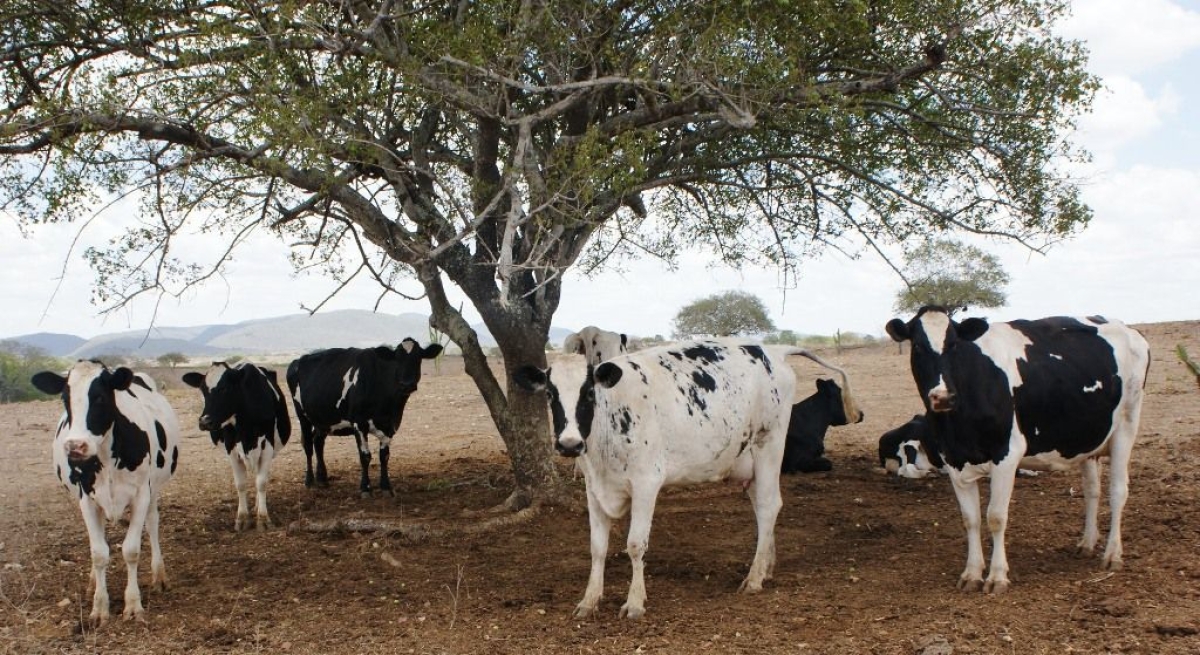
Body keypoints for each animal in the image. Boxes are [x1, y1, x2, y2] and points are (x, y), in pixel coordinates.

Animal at [29, 362, 180, 623]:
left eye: (99, 397)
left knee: (152, 524)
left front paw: (133, 604)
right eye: (65, 398)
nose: (75, 446)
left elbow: (131, 550)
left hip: (153, 490)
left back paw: (159, 575)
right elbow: (98, 553)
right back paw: (92, 583)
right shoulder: (87, 499)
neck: (107, 458)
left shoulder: (141, 495)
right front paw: (99, 607)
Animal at [181, 359, 291, 527]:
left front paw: (263, 518)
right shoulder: (230, 447)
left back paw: (258, 505)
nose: (205, 422)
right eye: (203, 390)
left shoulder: (268, 445)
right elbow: (241, 484)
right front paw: (242, 518)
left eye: (225, 388)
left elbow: (262, 482)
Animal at [286, 335, 446, 494]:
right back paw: (309, 480)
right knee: (308, 444)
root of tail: (297, 361)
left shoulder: (390, 425)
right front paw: (365, 488)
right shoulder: (359, 423)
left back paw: (323, 479)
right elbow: (365, 456)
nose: (407, 384)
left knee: (318, 442)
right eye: (397, 358)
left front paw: (386, 486)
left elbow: (384, 456)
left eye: (418, 358)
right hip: (302, 415)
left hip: (324, 419)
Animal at [511, 340, 859, 619]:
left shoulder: (646, 483)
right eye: (550, 393)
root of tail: (771, 349)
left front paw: (634, 602)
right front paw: (589, 600)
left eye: (588, 393)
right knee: (763, 510)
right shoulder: (594, 489)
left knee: (769, 506)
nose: (569, 444)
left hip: (769, 446)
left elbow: (635, 545)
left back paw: (755, 577)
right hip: (749, 461)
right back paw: (767, 567)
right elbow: (597, 547)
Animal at [883, 305, 1152, 590]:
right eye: (917, 346)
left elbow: (996, 516)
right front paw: (972, 573)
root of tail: (1129, 329)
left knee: (1118, 491)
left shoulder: (1007, 455)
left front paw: (997, 576)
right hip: (1087, 439)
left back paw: (1112, 554)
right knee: (1092, 491)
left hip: (1126, 427)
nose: (943, 397)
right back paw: (1087, 544)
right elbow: (970, 519)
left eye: (953, 344)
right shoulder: (954, 460)